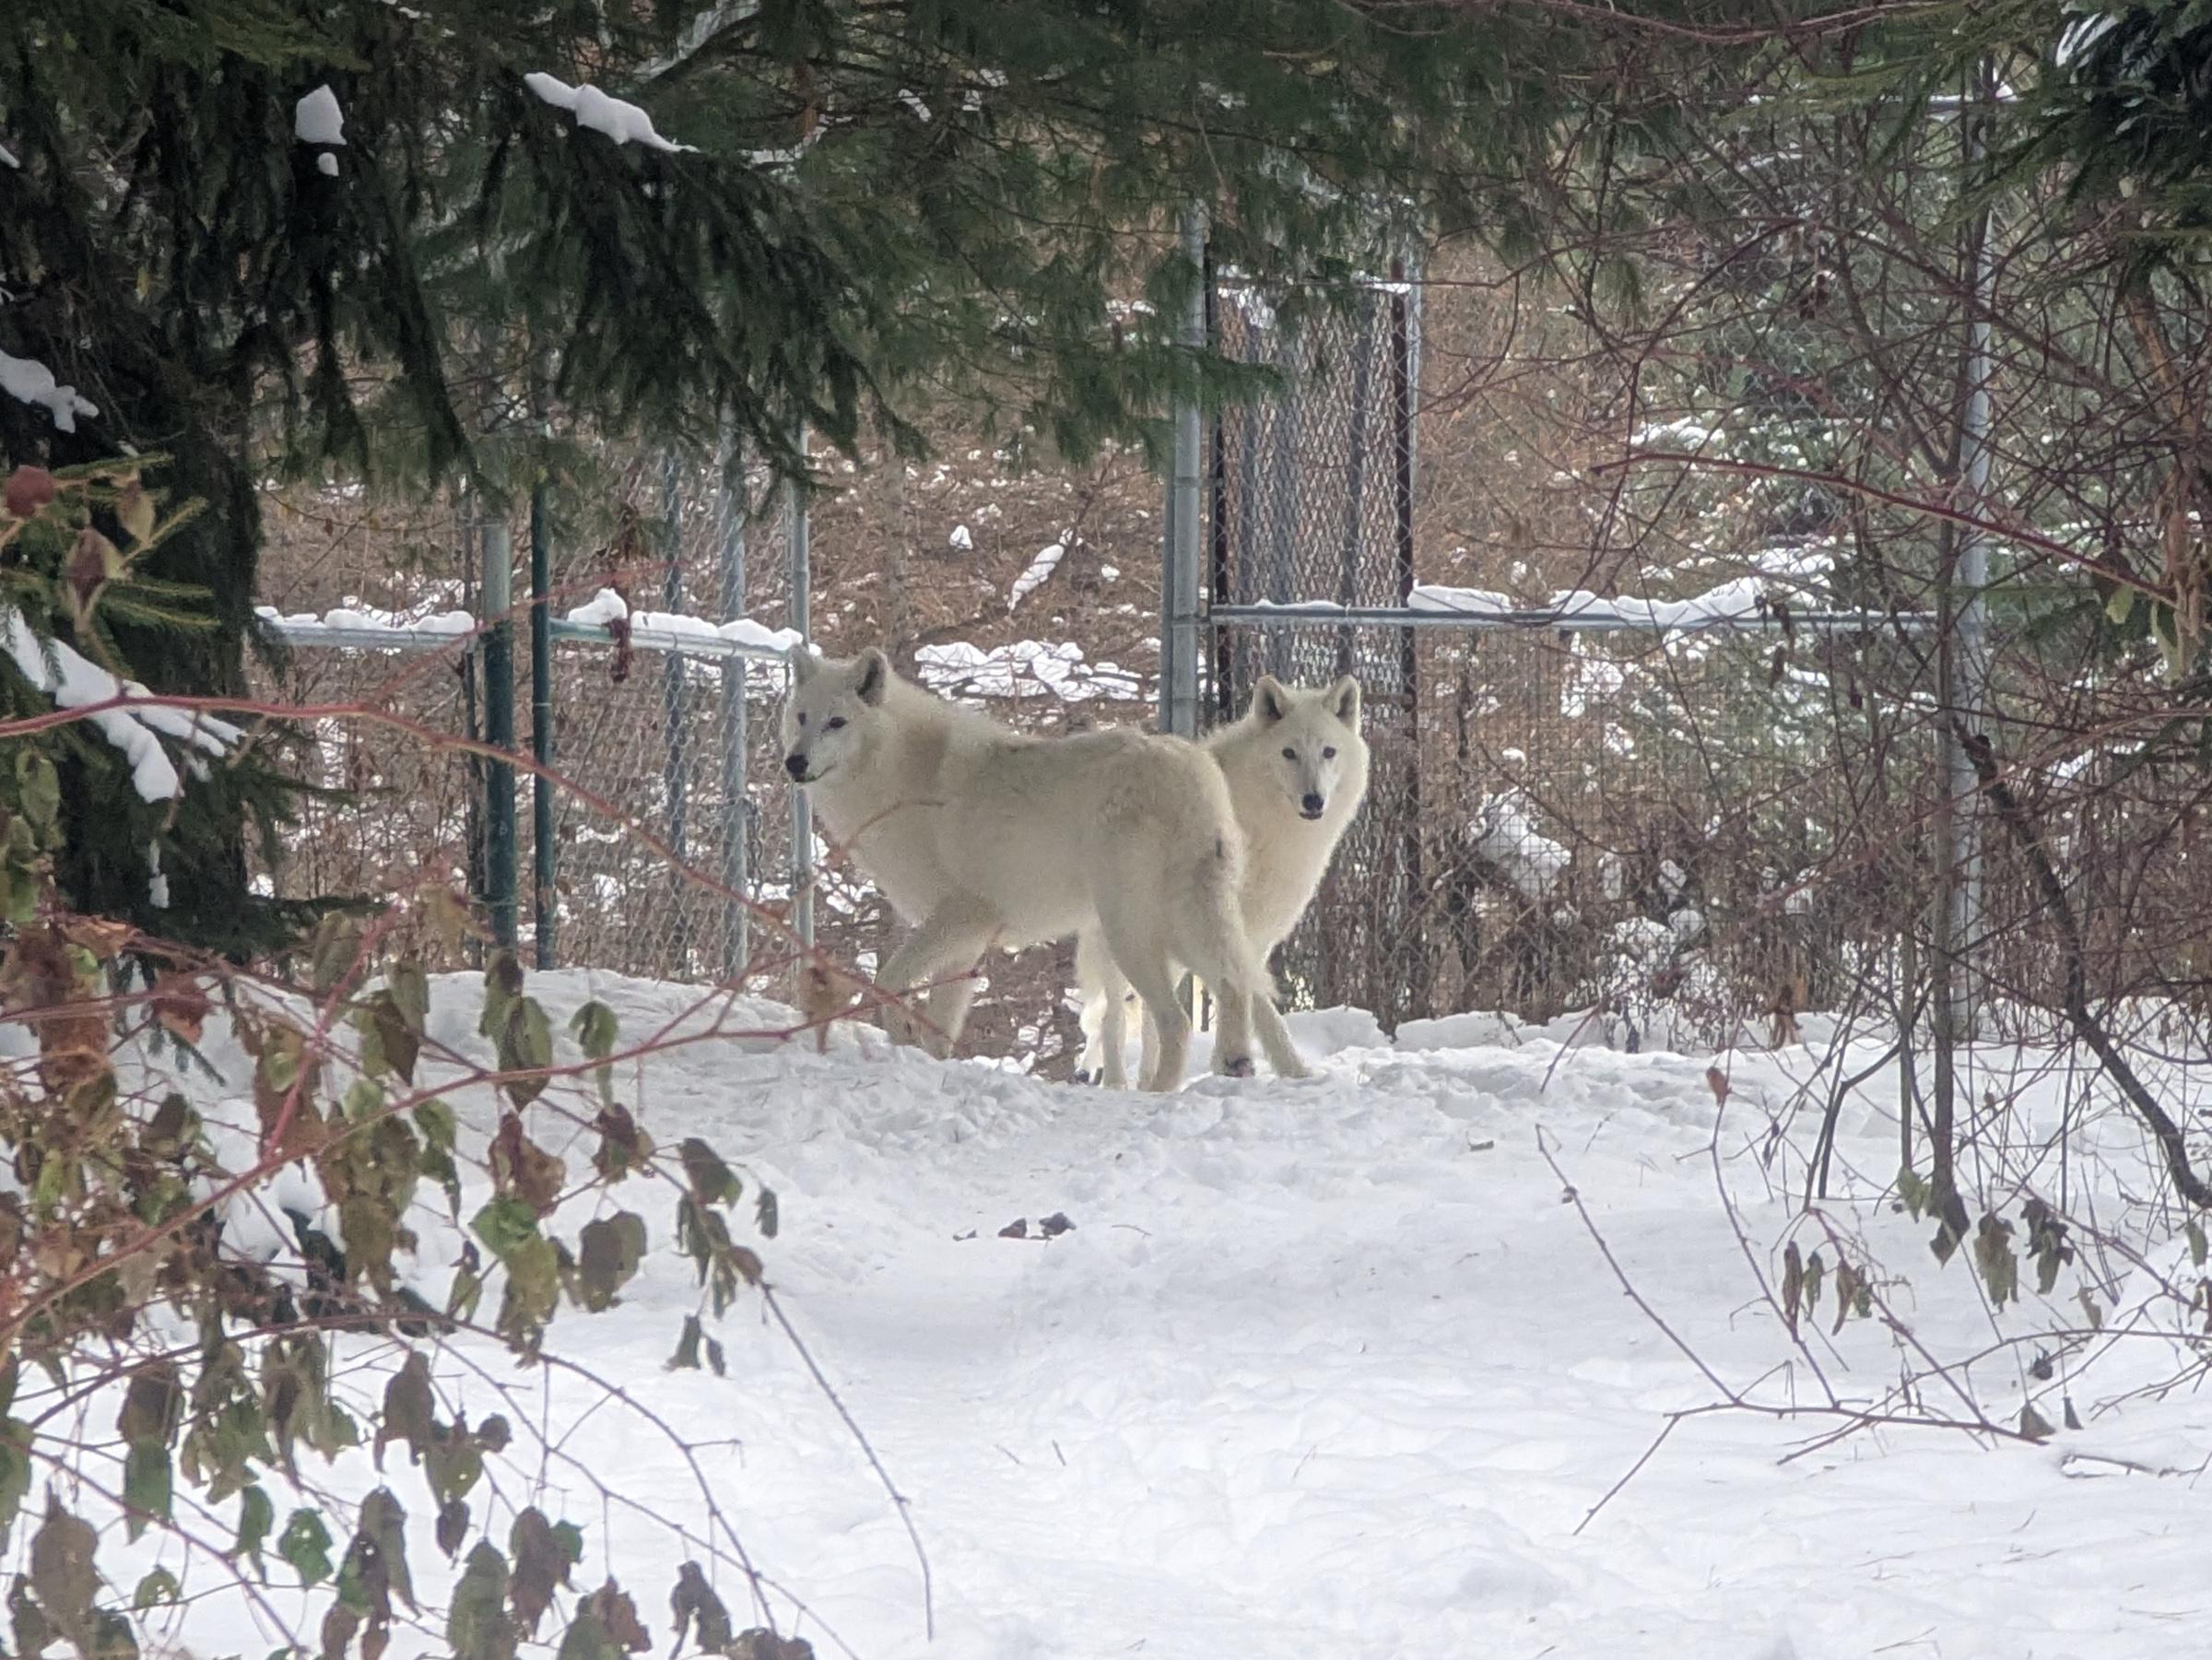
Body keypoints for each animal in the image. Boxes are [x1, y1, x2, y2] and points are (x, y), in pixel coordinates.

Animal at [780, 646, 1272, 1091]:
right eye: (802, 717)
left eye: (837, 722)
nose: (794, 762)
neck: (900, 776)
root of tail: (1191, 769)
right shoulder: (966, 942)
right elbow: (940, 1032)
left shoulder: (964, 915)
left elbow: (888, 978)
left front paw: (902, 1032)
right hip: (1187, 925)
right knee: (1233, 983)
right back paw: (1234, 1065)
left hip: (1128, 934)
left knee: (1177, 1020)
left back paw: (1157, 1094)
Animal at [1075, 674, 1369, 1087]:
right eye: (1289, 753)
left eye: (1329, 752)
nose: (1313, 800)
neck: (1267, 828)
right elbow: (1257, 1004)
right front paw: (1282, 1069)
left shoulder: (1255, 936)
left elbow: (1243, 994)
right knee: (1112, 1017)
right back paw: (1118, 1083)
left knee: (1151, 1016)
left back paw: (1148, 1081)